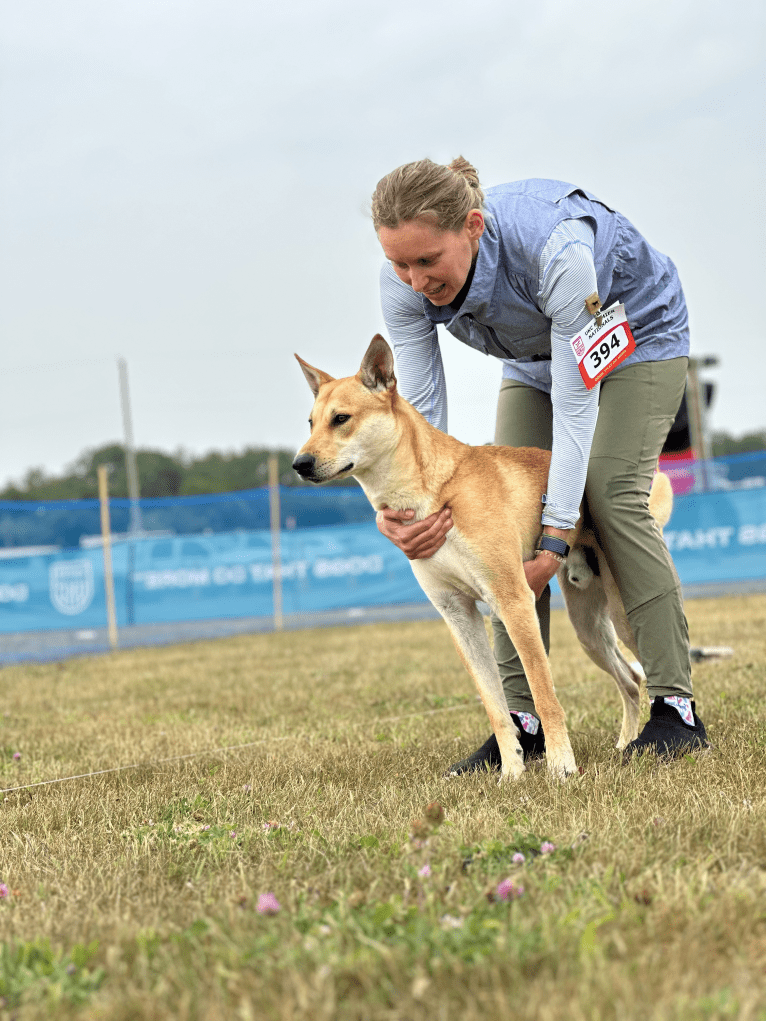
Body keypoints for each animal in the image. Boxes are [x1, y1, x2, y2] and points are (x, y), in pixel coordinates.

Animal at [296, 338, 674, 775]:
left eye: (341, 418)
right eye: (311, 422)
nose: (300, 463)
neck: (435, 491)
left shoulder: (513, 601)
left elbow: (544, 695)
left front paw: (561, 767)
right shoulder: (458, 614)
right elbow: (495, 706)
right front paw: (511, 772)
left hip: (624, 615)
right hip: (588, 628)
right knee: (630, 679)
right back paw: (624, 743)